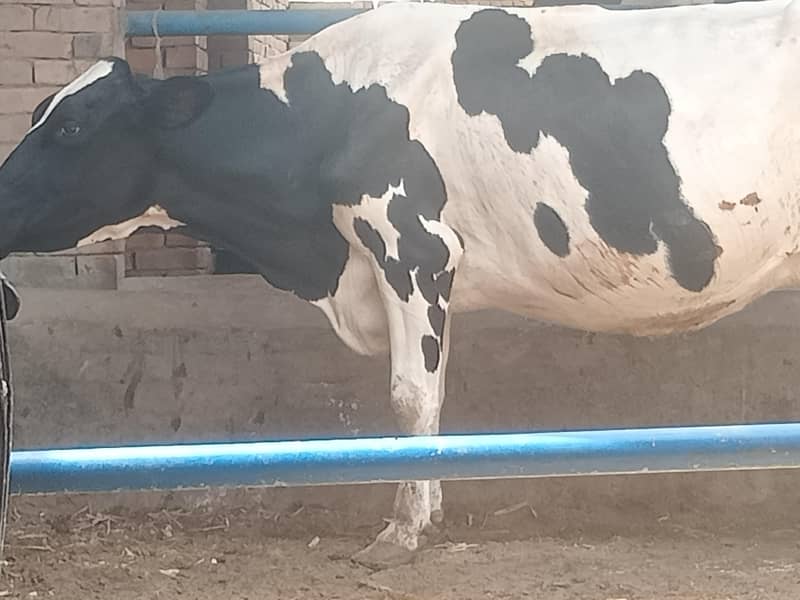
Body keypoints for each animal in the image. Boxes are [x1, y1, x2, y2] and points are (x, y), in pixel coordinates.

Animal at [1, 0, 799, 569]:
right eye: (40, 113)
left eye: (71, 128)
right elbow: (433, 398)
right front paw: (428, 513)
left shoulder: (411, 245)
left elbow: (411, 397)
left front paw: (402, 531)